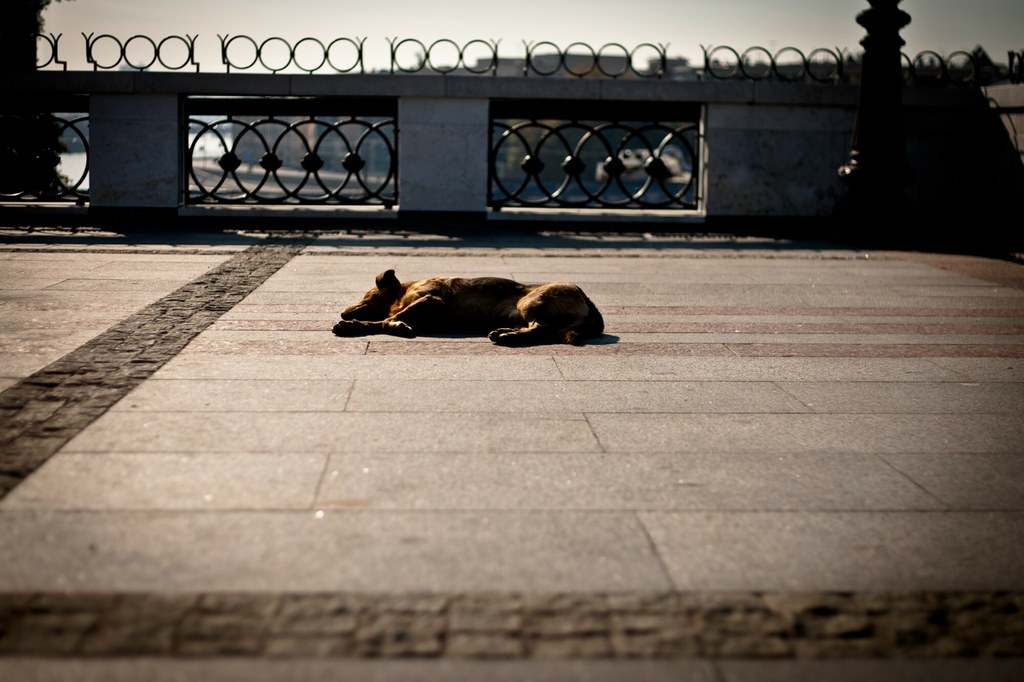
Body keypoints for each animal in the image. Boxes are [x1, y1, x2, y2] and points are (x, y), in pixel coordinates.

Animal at [335, 268, 602, 346]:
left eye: (366, 295)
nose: (343, 312)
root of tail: (591, 303)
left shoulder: (432, 299)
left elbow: (385, 321)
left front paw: (354, 325)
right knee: (541, 331)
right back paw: (506, 333)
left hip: (530, 302)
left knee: (539, 327)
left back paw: (508, 338)